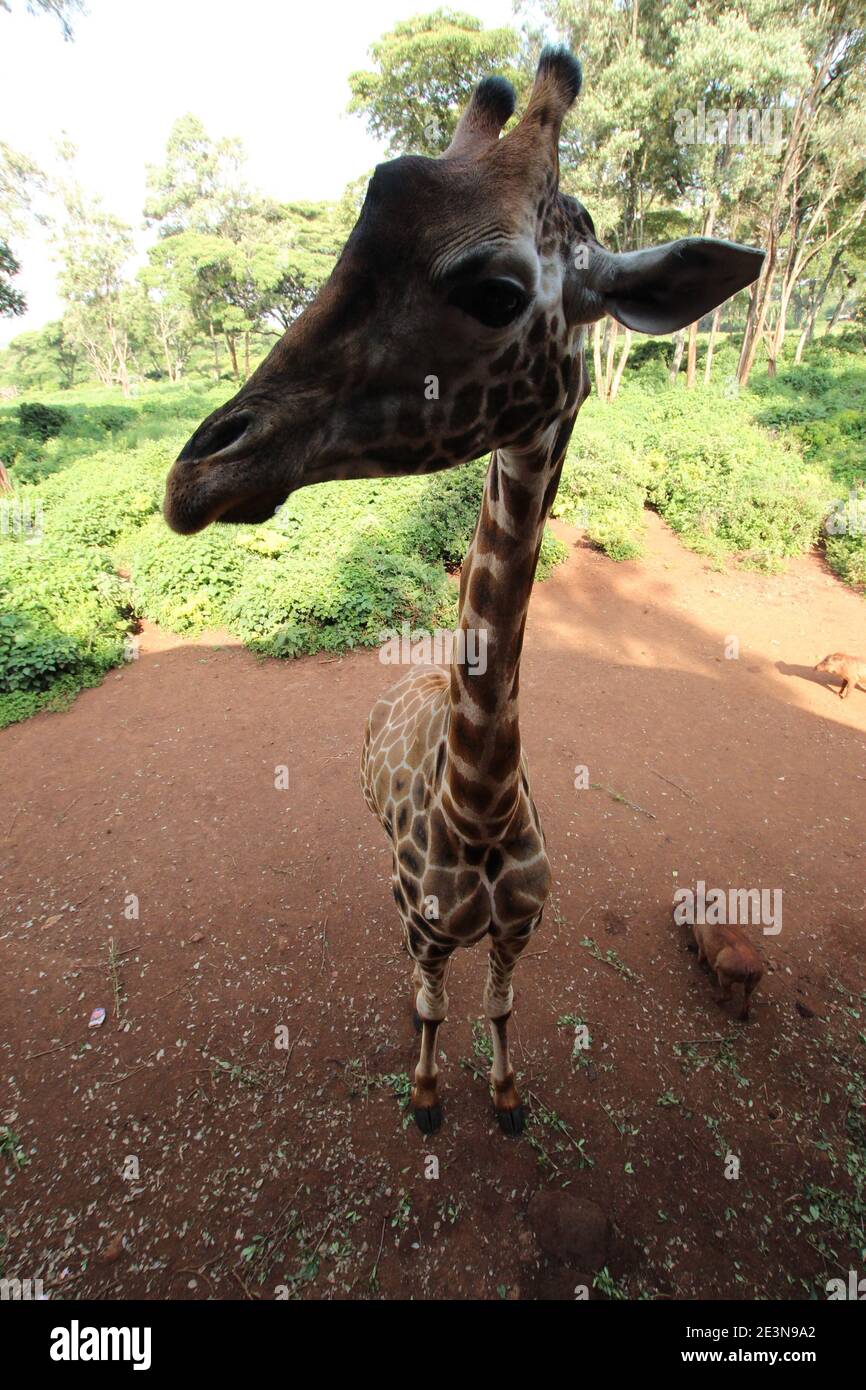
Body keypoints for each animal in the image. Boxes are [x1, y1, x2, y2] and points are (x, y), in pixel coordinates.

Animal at [164, 48, 767, 1134]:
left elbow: (500, 1005)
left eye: (493, 290)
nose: (193, 474)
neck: (478, 811)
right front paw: (425, 1095)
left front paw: (506, 1094)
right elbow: (430, 1005)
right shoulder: (430, 926)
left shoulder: (522, 928)